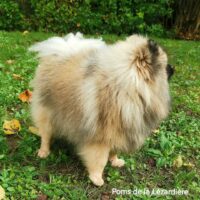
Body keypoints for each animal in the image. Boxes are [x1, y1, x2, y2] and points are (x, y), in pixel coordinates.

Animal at [28, 33, 173, 186]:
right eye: (166, 66)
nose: (173, 68)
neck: (128, 90)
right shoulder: (101, 137)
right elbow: (99, 160)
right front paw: (97, 178)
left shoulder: (120, 132)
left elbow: (114, 151)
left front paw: (115, 161)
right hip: (47, 113)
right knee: (45, 134)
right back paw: (43, 152)